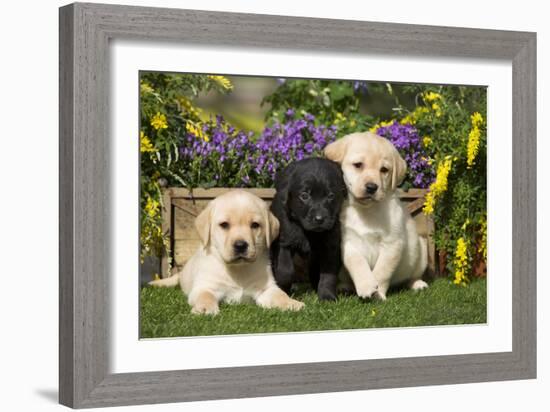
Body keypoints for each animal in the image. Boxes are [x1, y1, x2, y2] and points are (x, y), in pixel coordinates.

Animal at [151, 190, 306, 316]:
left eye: (255, 225)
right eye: (224, 225)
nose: (241, 245)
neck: (238, 270)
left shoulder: (266, 288)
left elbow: (280, 295)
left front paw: (292, 303)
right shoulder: (204, 287)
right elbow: (205, 296)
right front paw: (205, 309)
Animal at [272, 157, 350, 300]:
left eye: (331, 196)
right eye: (304, 196)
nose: (319, 219)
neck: (309, 232)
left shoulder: (331, 246)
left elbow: (328, 274)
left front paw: (327, 295)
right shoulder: (284, 241)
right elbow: (285, 270)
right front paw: (283, 290)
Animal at [328, 134, 432, 300]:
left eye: (384, 170)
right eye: (358, 165)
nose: (372, 187)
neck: (367, 210)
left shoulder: (392, 244)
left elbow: (382, 271)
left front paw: (377, 294)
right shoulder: (348, 242)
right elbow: (357, 263)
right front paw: (366, 286)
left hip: (420, 250)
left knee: (412, 276)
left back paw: (418, 284)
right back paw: (344, 287)